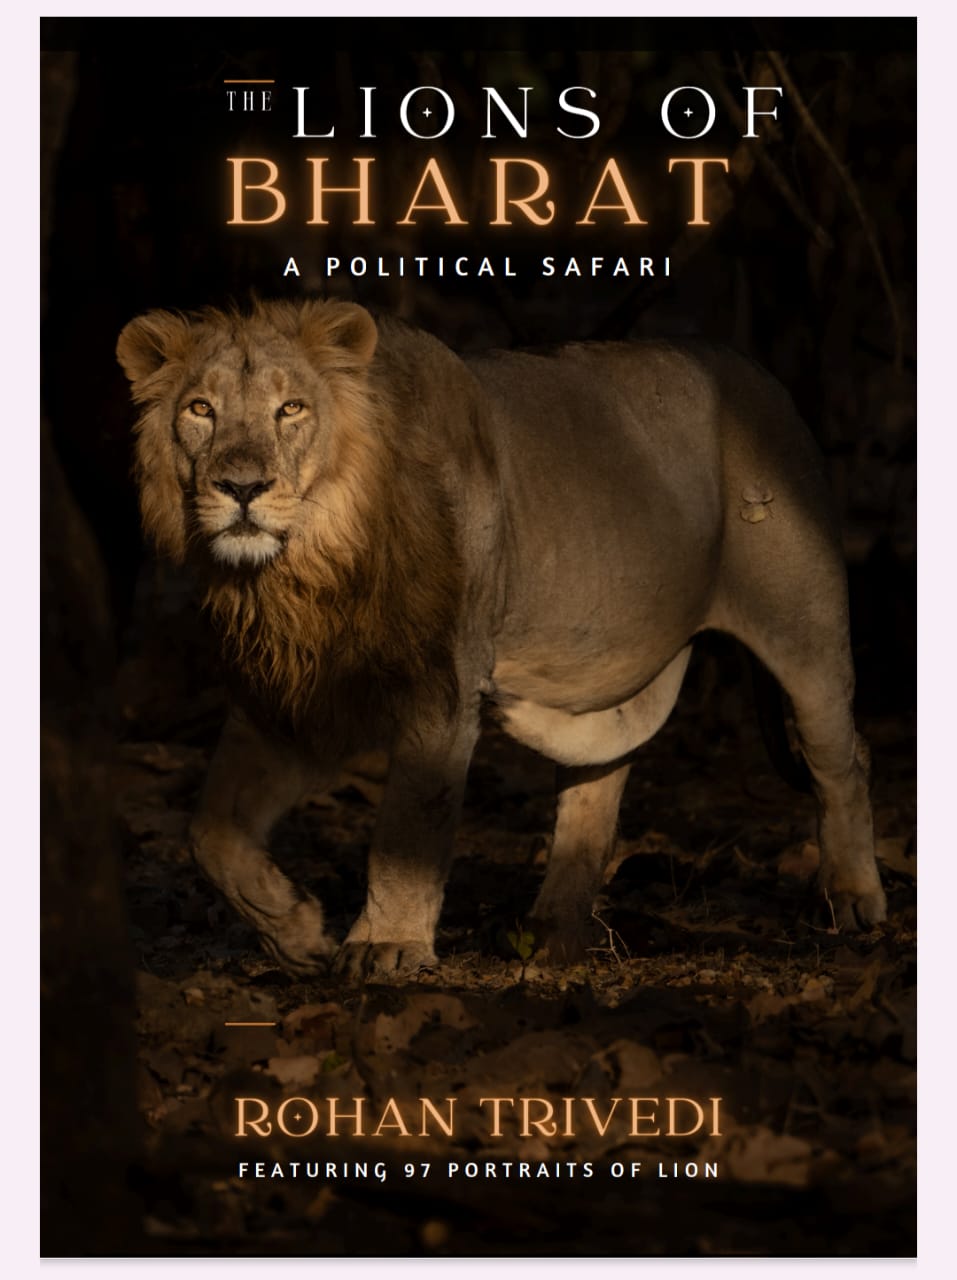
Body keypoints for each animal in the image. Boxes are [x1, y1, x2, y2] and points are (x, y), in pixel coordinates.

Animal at [116, 298, 886, 979]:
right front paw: (299, 934)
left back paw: (853, 900)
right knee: (599, 779)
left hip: (804, 629)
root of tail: (760, 374)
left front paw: (387, 946)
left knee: (841, 758)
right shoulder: (287, 696)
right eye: (201, 410)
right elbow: (211, 834)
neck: (304, 569)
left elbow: (408, 826)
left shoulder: (441, 687)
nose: (241, 487)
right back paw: (552, 933)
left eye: (291, 410)